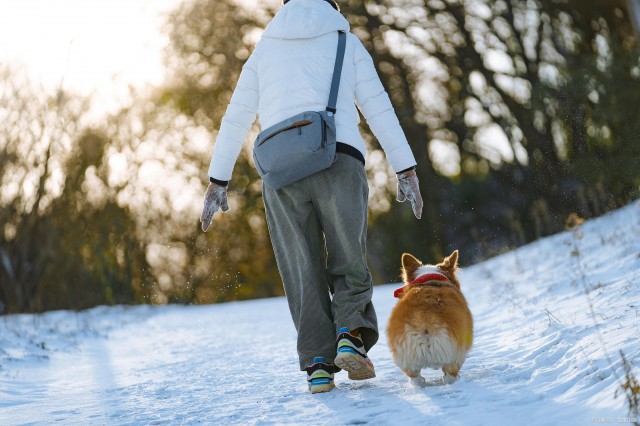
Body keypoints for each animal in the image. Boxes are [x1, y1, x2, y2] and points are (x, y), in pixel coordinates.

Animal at [382, 250, 472, 386]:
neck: (430, 278)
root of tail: (425, 317)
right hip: (454, 355)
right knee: (450, 375)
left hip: (407, 358)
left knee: (415, 378)